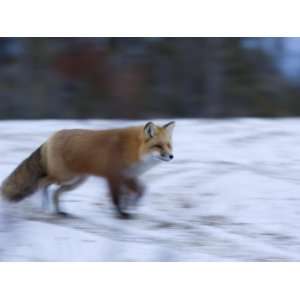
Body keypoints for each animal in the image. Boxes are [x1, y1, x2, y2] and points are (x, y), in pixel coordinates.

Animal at [0, 121, 173, 218]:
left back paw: (59, 211)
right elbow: (116, 198)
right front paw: (121, 214)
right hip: (64, 176)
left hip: (76, 182)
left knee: (56, 192)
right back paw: (45, 205)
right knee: (43, 183)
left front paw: (131, 206)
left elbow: (140, 191)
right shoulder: (113, 176)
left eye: (168, 145)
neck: (133, 149)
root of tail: (51, 137)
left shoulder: (128, 176)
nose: (171, 156)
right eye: (158, 146)